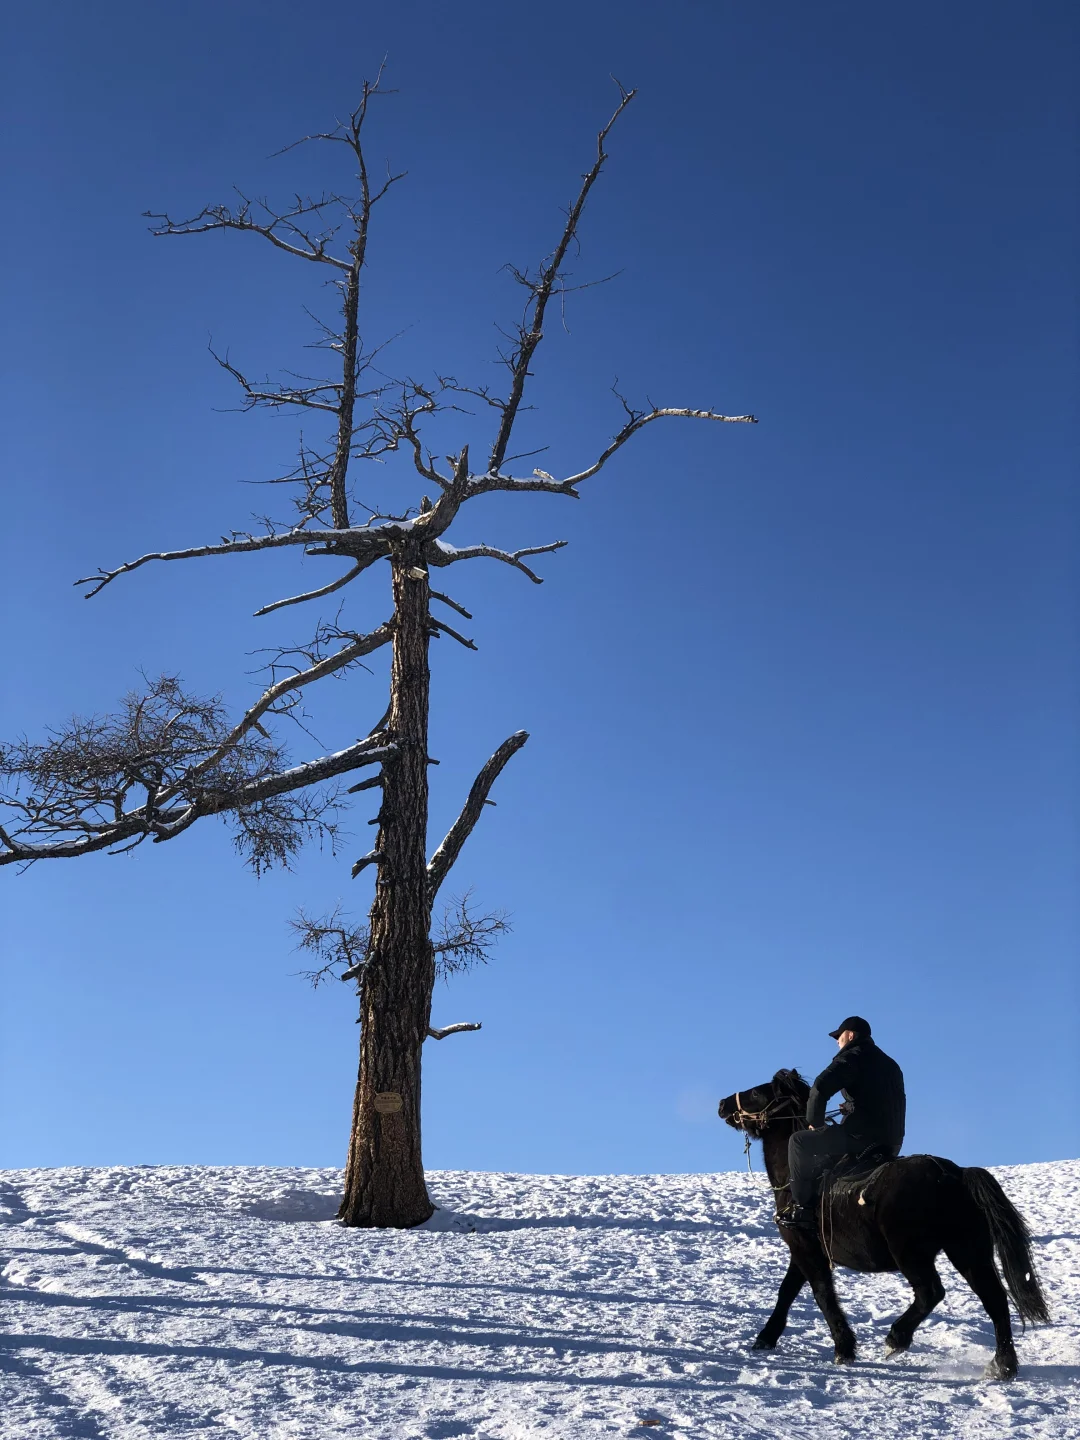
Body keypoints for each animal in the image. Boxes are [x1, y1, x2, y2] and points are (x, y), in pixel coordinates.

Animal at [720, 1071, 1048, 1382]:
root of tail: (955, 1174)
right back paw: (1003, 1366)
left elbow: (823, 1295)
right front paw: (766, 1337)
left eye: (756, 1093)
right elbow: (787, 1291)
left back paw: (896, 1338)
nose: (723, 1104)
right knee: (995, 1299)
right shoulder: (805, 1250)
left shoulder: (806, 1249)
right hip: (968, 1253)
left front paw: (844, 1348)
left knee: (931, 1292)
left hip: (911, 1253)